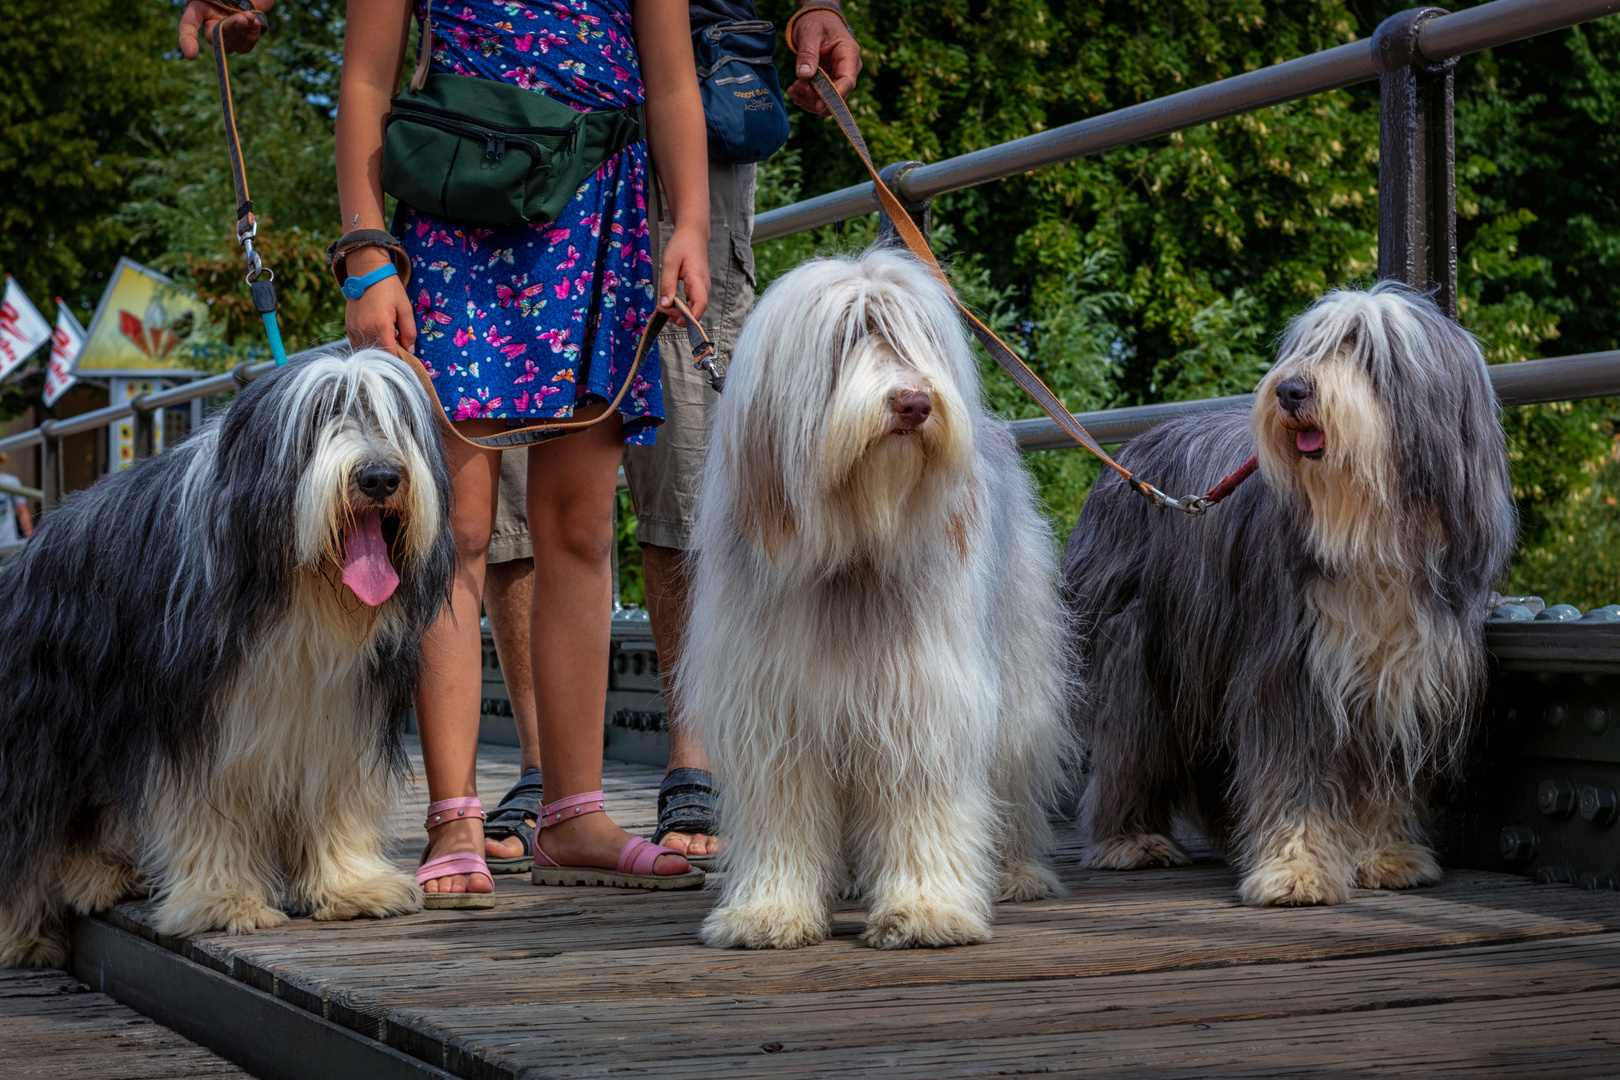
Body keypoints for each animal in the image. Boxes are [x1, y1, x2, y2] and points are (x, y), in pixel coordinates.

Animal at [0, 348, 456, 965]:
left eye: (398, 419)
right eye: (319, 416)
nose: (381, 477)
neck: (300, 591)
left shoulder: (339, 709)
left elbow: (334, 792)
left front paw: (353, 885)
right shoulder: (188, 716)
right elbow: (203, 808)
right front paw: (223, 900)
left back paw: (103, 874)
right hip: (48, 722)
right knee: (29, 823)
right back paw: (25, 933)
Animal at [683, 249, 1075, 952]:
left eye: (918, 338)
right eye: (846, 338)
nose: (914, 402)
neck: (855, 549)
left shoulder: (922, 697)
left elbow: (923, 803)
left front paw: (926, 908)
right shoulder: (774, 711)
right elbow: (783, 810)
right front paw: (769, 911)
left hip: (1019, 680)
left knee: (1013, 775)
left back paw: (1016, 872)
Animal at [1069, 283, 1509, 906]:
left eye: (1364, 351)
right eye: (1310, 344)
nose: (1291, 390)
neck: (1367, 533)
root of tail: (1128, 464)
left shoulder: (1401, 674)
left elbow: (1384, 780)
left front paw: (1386, 854)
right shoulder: (1291, 667)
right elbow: (1293, 770)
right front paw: (1296, 869)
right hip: (1140, 651)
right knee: (1129, 741)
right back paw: (1130, 840)